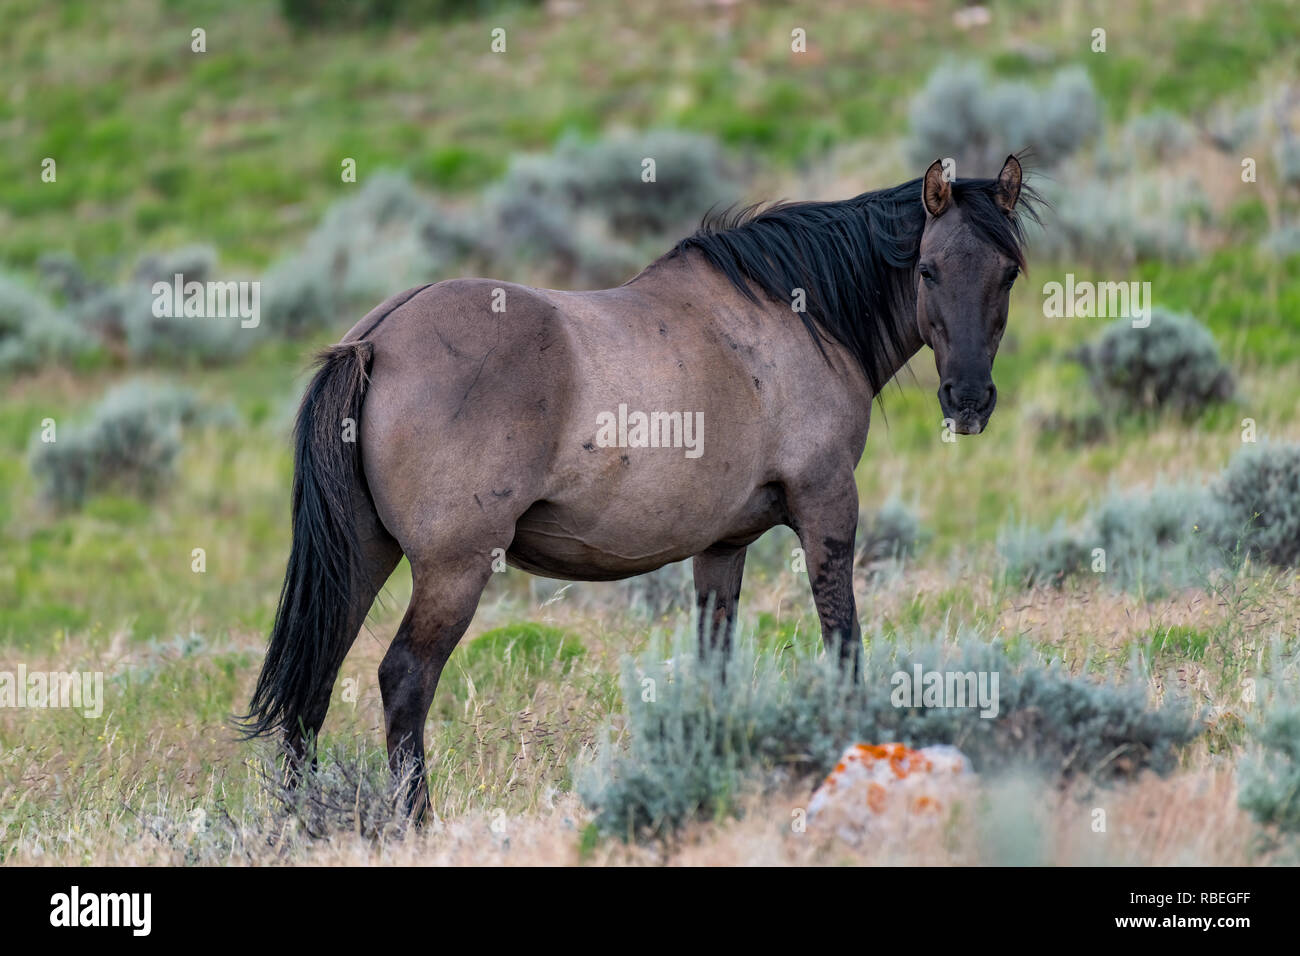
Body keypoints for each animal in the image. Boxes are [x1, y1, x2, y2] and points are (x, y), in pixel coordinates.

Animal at [241, 155, 1040, 815]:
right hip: (453, 569)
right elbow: (843, 643)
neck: (797, 318)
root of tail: (376, 339)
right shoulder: (827, 510)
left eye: (1007, 273)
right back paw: (415, 822)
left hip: (364, 558)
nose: (969, 400)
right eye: (929, 270)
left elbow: (715, 663)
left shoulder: (723, 547)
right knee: (404, 679)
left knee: (314, 686)